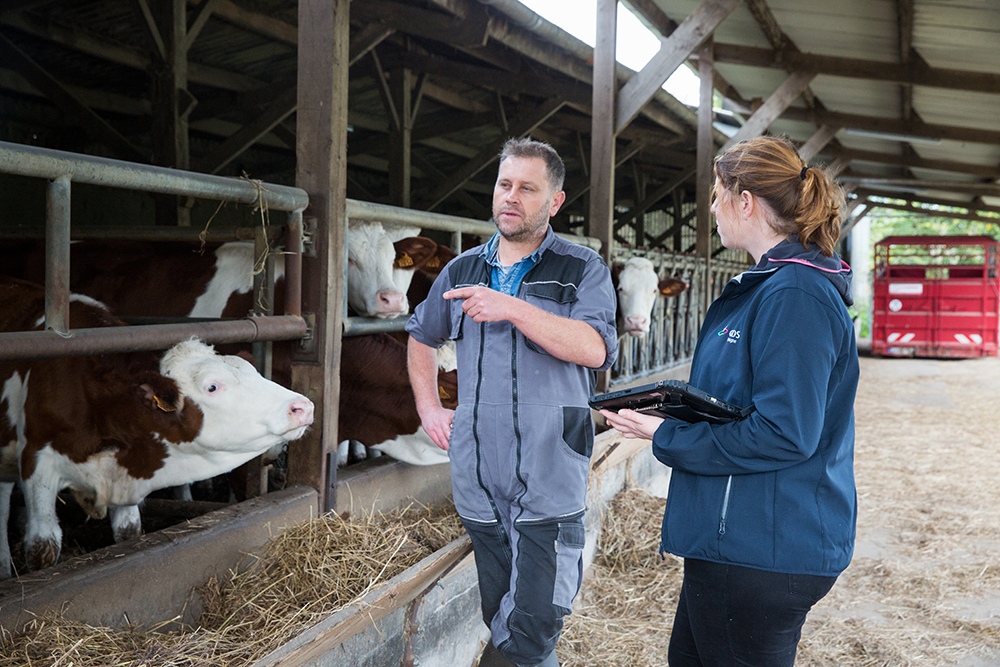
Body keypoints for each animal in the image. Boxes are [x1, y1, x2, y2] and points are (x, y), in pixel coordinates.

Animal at [0, 276, 312, 580]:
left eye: (254, 372)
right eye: (212, 386)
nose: (304, 407)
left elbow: (128, 533)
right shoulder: (37, 462)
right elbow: (43, 547)